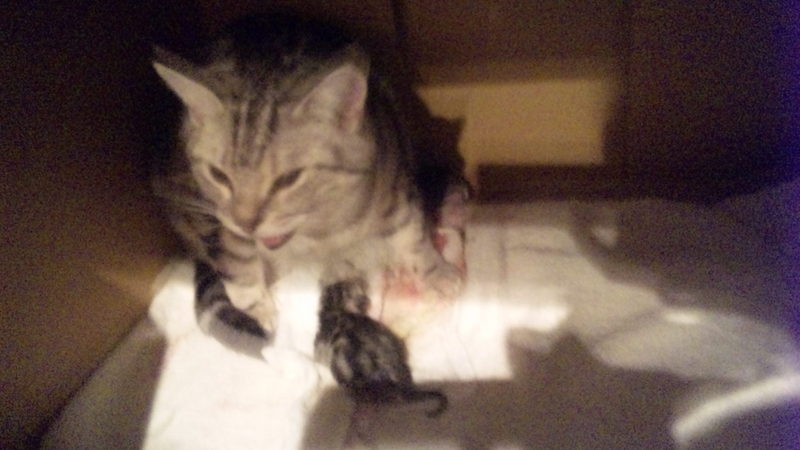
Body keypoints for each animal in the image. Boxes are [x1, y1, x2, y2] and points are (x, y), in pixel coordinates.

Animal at [152, 13, 464, 414]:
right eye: (219, 175)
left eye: (288, 179)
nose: (247, 221)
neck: (319, 232)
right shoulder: (220, 221)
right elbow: (239, 264)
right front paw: (256, 309)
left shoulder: (393, 178)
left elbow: (410, 232)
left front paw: (435, 271)